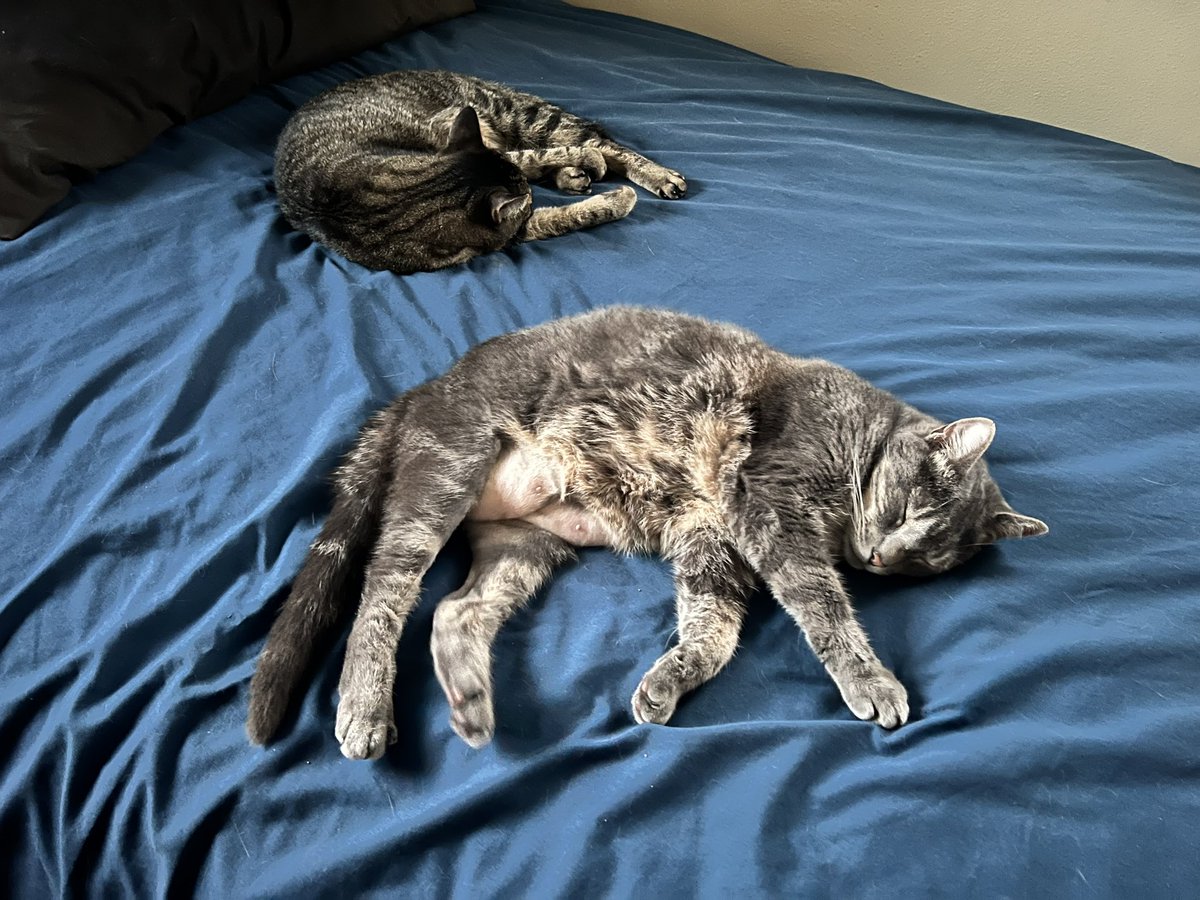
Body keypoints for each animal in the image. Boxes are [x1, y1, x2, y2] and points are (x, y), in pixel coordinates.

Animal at [248, 309, 1046, 763]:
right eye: (909, 509)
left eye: (926, 561)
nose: (882, 558)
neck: (860, 435)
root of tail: (423, 390)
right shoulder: (770, 506)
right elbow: (824, 608)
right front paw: (872, 682)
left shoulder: (710, 536)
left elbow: (714, 630)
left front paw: (670, 679)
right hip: (444, 477)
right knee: (383, 592)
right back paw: (364, 707)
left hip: (525, 545)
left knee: (455, 609)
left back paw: (471, 700)